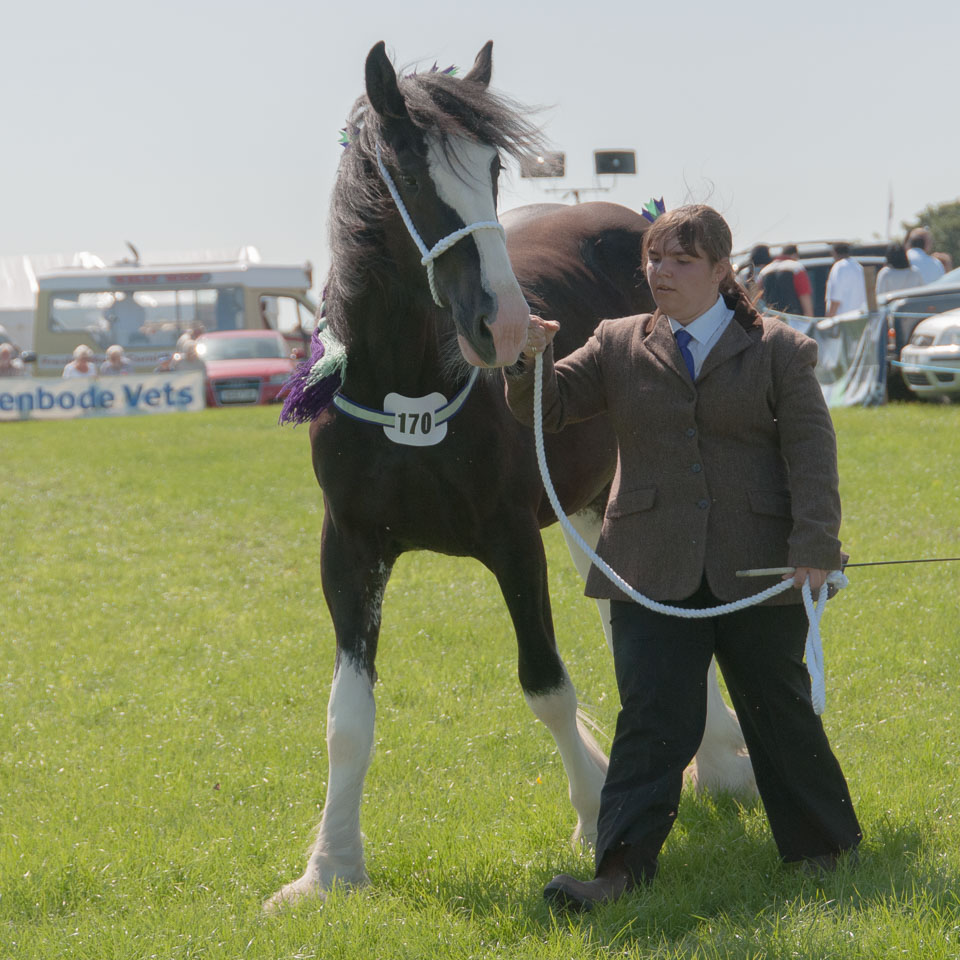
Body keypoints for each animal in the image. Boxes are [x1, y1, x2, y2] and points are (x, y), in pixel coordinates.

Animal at [266, 39, 752, 908]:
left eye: (493, 168)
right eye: (409, 173)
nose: (507, 326)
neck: (407, 390)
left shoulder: (511, 541)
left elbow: (547, 687)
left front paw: (595, 816)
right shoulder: (350, 550)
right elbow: (346, 716)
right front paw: (329, 869)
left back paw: (725, 760)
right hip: (593, 500)